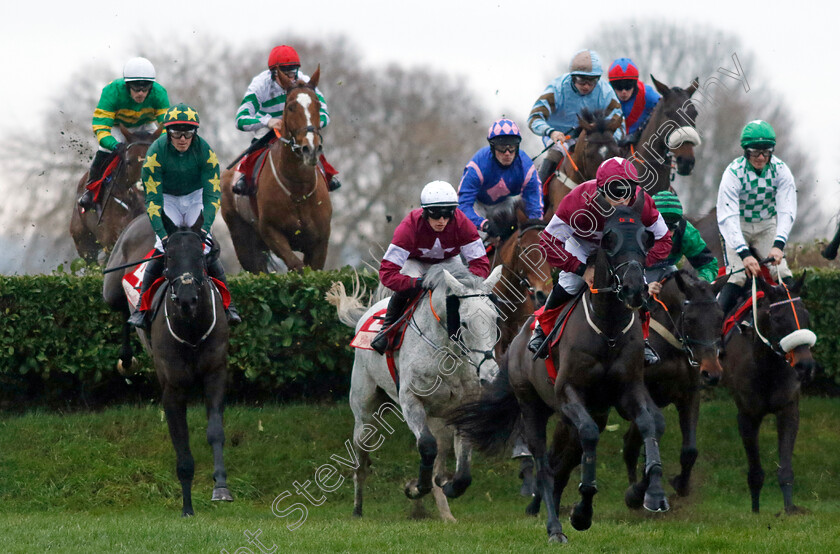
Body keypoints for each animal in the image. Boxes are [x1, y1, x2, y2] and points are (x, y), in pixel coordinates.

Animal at [102, 215, 233, 512]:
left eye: (200, 256)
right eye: (170, 256)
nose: (186, 299)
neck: (191, 331)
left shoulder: (215, 374)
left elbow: (215, 431)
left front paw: (221, 487)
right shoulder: (173, 388)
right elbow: (181, 443)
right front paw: (187, 507)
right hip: (111, 288)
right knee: (120, 309)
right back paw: (127, 356)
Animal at [221, 67, 330, 272]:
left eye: (318, 105)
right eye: (290, 107)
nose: (310, 148)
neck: (298, 189)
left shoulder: (320, 241)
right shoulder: (271, 233)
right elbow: (297, 267)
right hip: (243, 242)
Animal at [450, 196, 668, 540]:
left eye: (646, 239)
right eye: (609, 240)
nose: (635, 289)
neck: (607, 331)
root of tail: (516, 342)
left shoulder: (628, 390)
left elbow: (650, 424)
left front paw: (652, 493)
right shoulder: (568, 392)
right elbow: (588, 437)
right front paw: (582, 511)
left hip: (581, 414)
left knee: (562, 459)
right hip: (532, 406)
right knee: (544, 462)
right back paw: (554, 526)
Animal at [720, 274, 820, 512]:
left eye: (806, 315)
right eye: (777, 319)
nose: (805, 366)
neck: (766, 368)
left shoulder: (788, 410)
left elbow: (785, 469)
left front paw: (789, 509)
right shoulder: (747, 416)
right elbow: (755, 473)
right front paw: (755, 512)